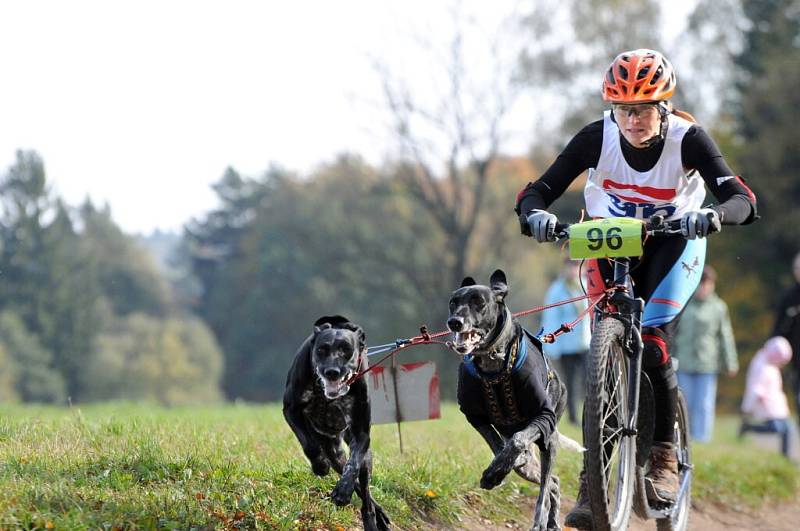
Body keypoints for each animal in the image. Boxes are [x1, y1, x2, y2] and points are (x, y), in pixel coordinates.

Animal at [284, 318, 390, 528]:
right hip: (333, 450)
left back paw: (372, 518)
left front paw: (343, 491)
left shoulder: (361, 434)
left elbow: (353, 465)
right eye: (321, 350)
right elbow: (309, 446)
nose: (332, 372)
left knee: (364, 491)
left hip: (362, 457)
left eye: (347, 349)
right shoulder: (291, 410)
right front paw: (319, 465)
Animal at [444, 270, 580, 531]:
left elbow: (517, 441)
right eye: (453, 302)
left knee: (546, 486)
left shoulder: (543, 418)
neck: (493, 364)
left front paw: (496, 471)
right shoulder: (474, 416)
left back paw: (542, 522)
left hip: (549, 441)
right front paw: (496, 470)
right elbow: (499, 446)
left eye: (479, 302)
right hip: (532, 466)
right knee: (553, 482)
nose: (454, 322)